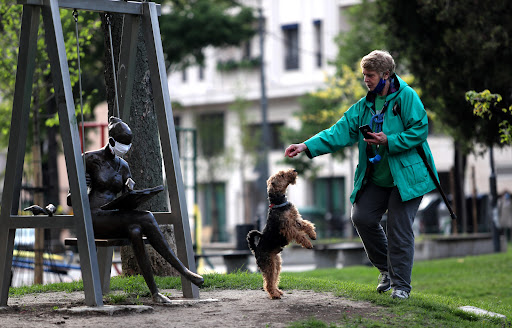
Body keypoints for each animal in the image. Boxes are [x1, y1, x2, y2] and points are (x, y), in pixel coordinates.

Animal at [247, 169, 316, 300]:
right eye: (282, 175)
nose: (294, 170)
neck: (278, 203)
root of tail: (256, 249)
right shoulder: (288, 228)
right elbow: (300, 235)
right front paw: (308, 244)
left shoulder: (296, 220)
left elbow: (306, 225)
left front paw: (313, 234)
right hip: (269, 264)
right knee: (268, 283)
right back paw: (274, 295)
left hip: (277, 264)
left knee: (273, 280)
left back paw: (278, 291)